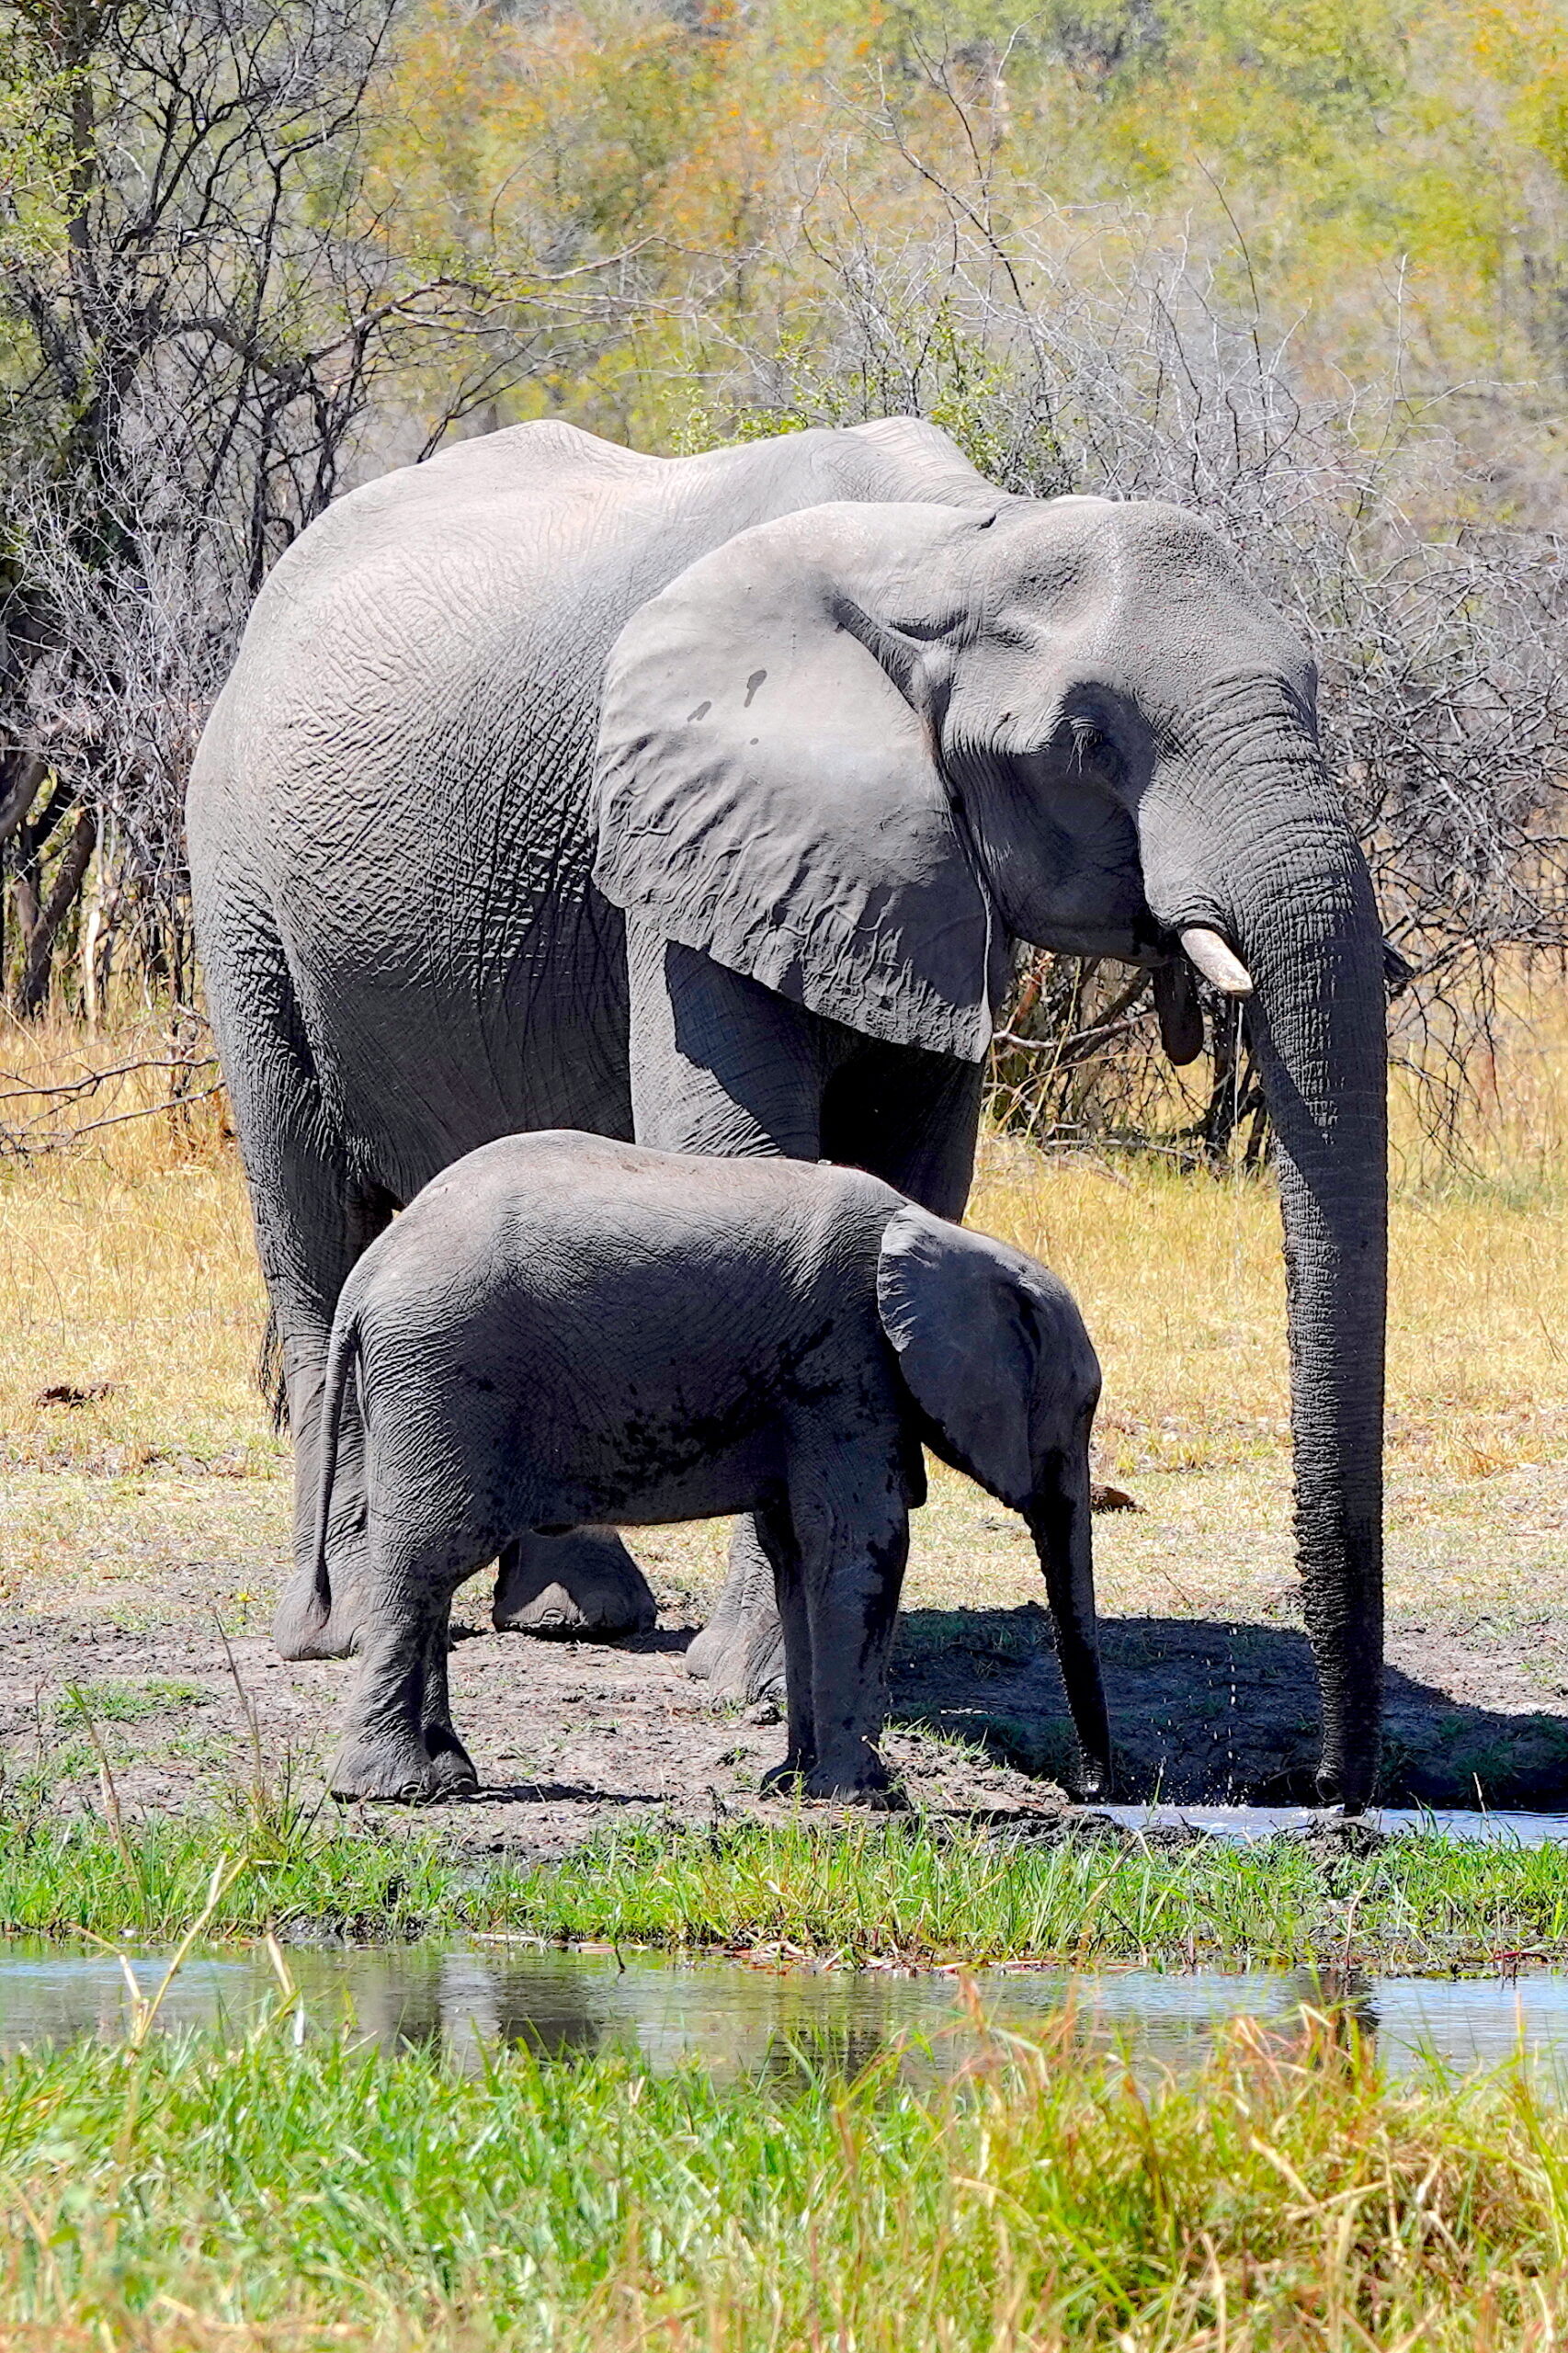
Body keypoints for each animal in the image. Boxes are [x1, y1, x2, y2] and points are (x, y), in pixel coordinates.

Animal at [308, 1129, 1111, 1807]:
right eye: (1081, 1411)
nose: (1094, 1791)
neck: (950, 1240)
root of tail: (369, 1272)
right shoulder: (845, 1364)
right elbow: (861, 1544)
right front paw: (871, 1800)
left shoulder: (812, 1385)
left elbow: (799, 1556)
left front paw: (792, 1786)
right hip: (443, 1371)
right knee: (427, 1559)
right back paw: (387, 1790)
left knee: (433, 1573)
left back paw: (449, 1780)